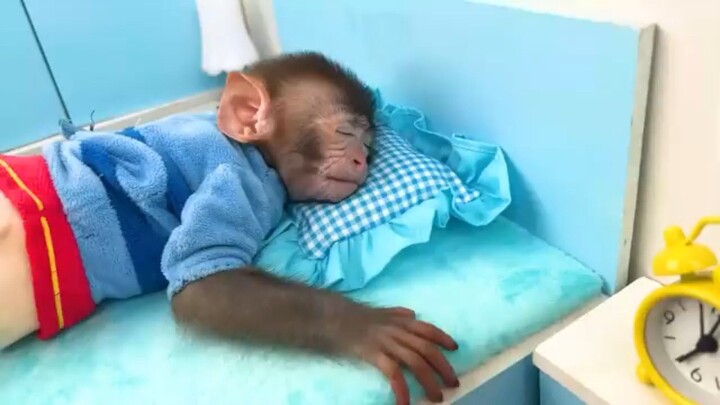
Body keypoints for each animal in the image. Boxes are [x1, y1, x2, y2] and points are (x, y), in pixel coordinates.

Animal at [0, 52, 459, 405]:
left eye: (369, 146)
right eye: (346, 133)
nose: (362, 160)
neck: (253, 150)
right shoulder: (233, 174)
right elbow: (200, 272)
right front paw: (364, 327)